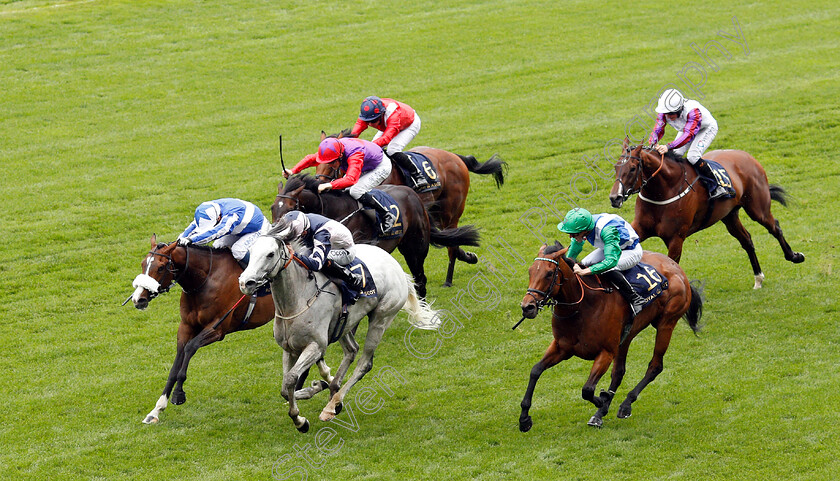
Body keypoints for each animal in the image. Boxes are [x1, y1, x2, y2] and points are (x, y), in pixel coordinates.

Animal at [130, 236, 334, 424]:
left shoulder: (217, 329)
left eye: (161, 267)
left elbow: (190, 348)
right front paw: (156, 410)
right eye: (143, 264)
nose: (138, 299)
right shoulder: (186, 327)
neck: (206, 279)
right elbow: (175, 365)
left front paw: (178, 394)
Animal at [270, 174, 480, 298]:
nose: (274, 233)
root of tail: (414, 196)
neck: (335, 211)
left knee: (420, 279)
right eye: (272, 208)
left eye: (290, 207)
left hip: (415, 247)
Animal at [312, 130, 502, 284]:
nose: (318, 184)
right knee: (448, 238)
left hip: (450, 211)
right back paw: (467, 257)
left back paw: (449, 279)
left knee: (451, 245)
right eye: (316, 163)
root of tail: (455, 157)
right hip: (433, 211)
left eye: (330, 166)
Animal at [520, 242, 704, 430]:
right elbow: (535, 370)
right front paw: (524, 419)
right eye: (530, 271)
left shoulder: (606, 352)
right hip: (626, 337)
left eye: (549, 274)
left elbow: (587, 390)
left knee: (655, 366)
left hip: (666, 324)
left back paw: (625, 405)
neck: (582, 307)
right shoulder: (561, 347)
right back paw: (600, 414)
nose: (527, 307)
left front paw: (603, 399)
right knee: (619, 372)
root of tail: (677, 268)